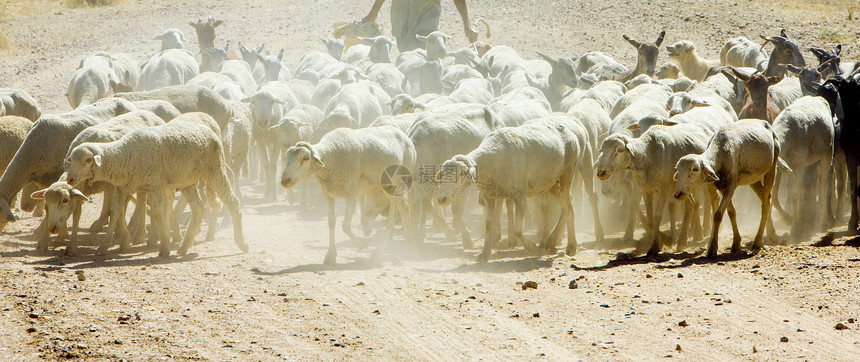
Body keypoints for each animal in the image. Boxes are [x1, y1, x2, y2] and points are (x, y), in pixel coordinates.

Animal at [63, 113, 245, 258]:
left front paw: (163, 247)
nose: (70, 179)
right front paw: (103, 247)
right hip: (187, 180)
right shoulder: (124, 188)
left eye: (88, 160)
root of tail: (208, 127)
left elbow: (158, 214)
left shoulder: (156, 186)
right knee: (199, 208)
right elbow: (115, 213)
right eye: (72, 159)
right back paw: (184, 246)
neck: (124, 156)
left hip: (215, 170)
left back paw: (241, 243)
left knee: (233, 202)